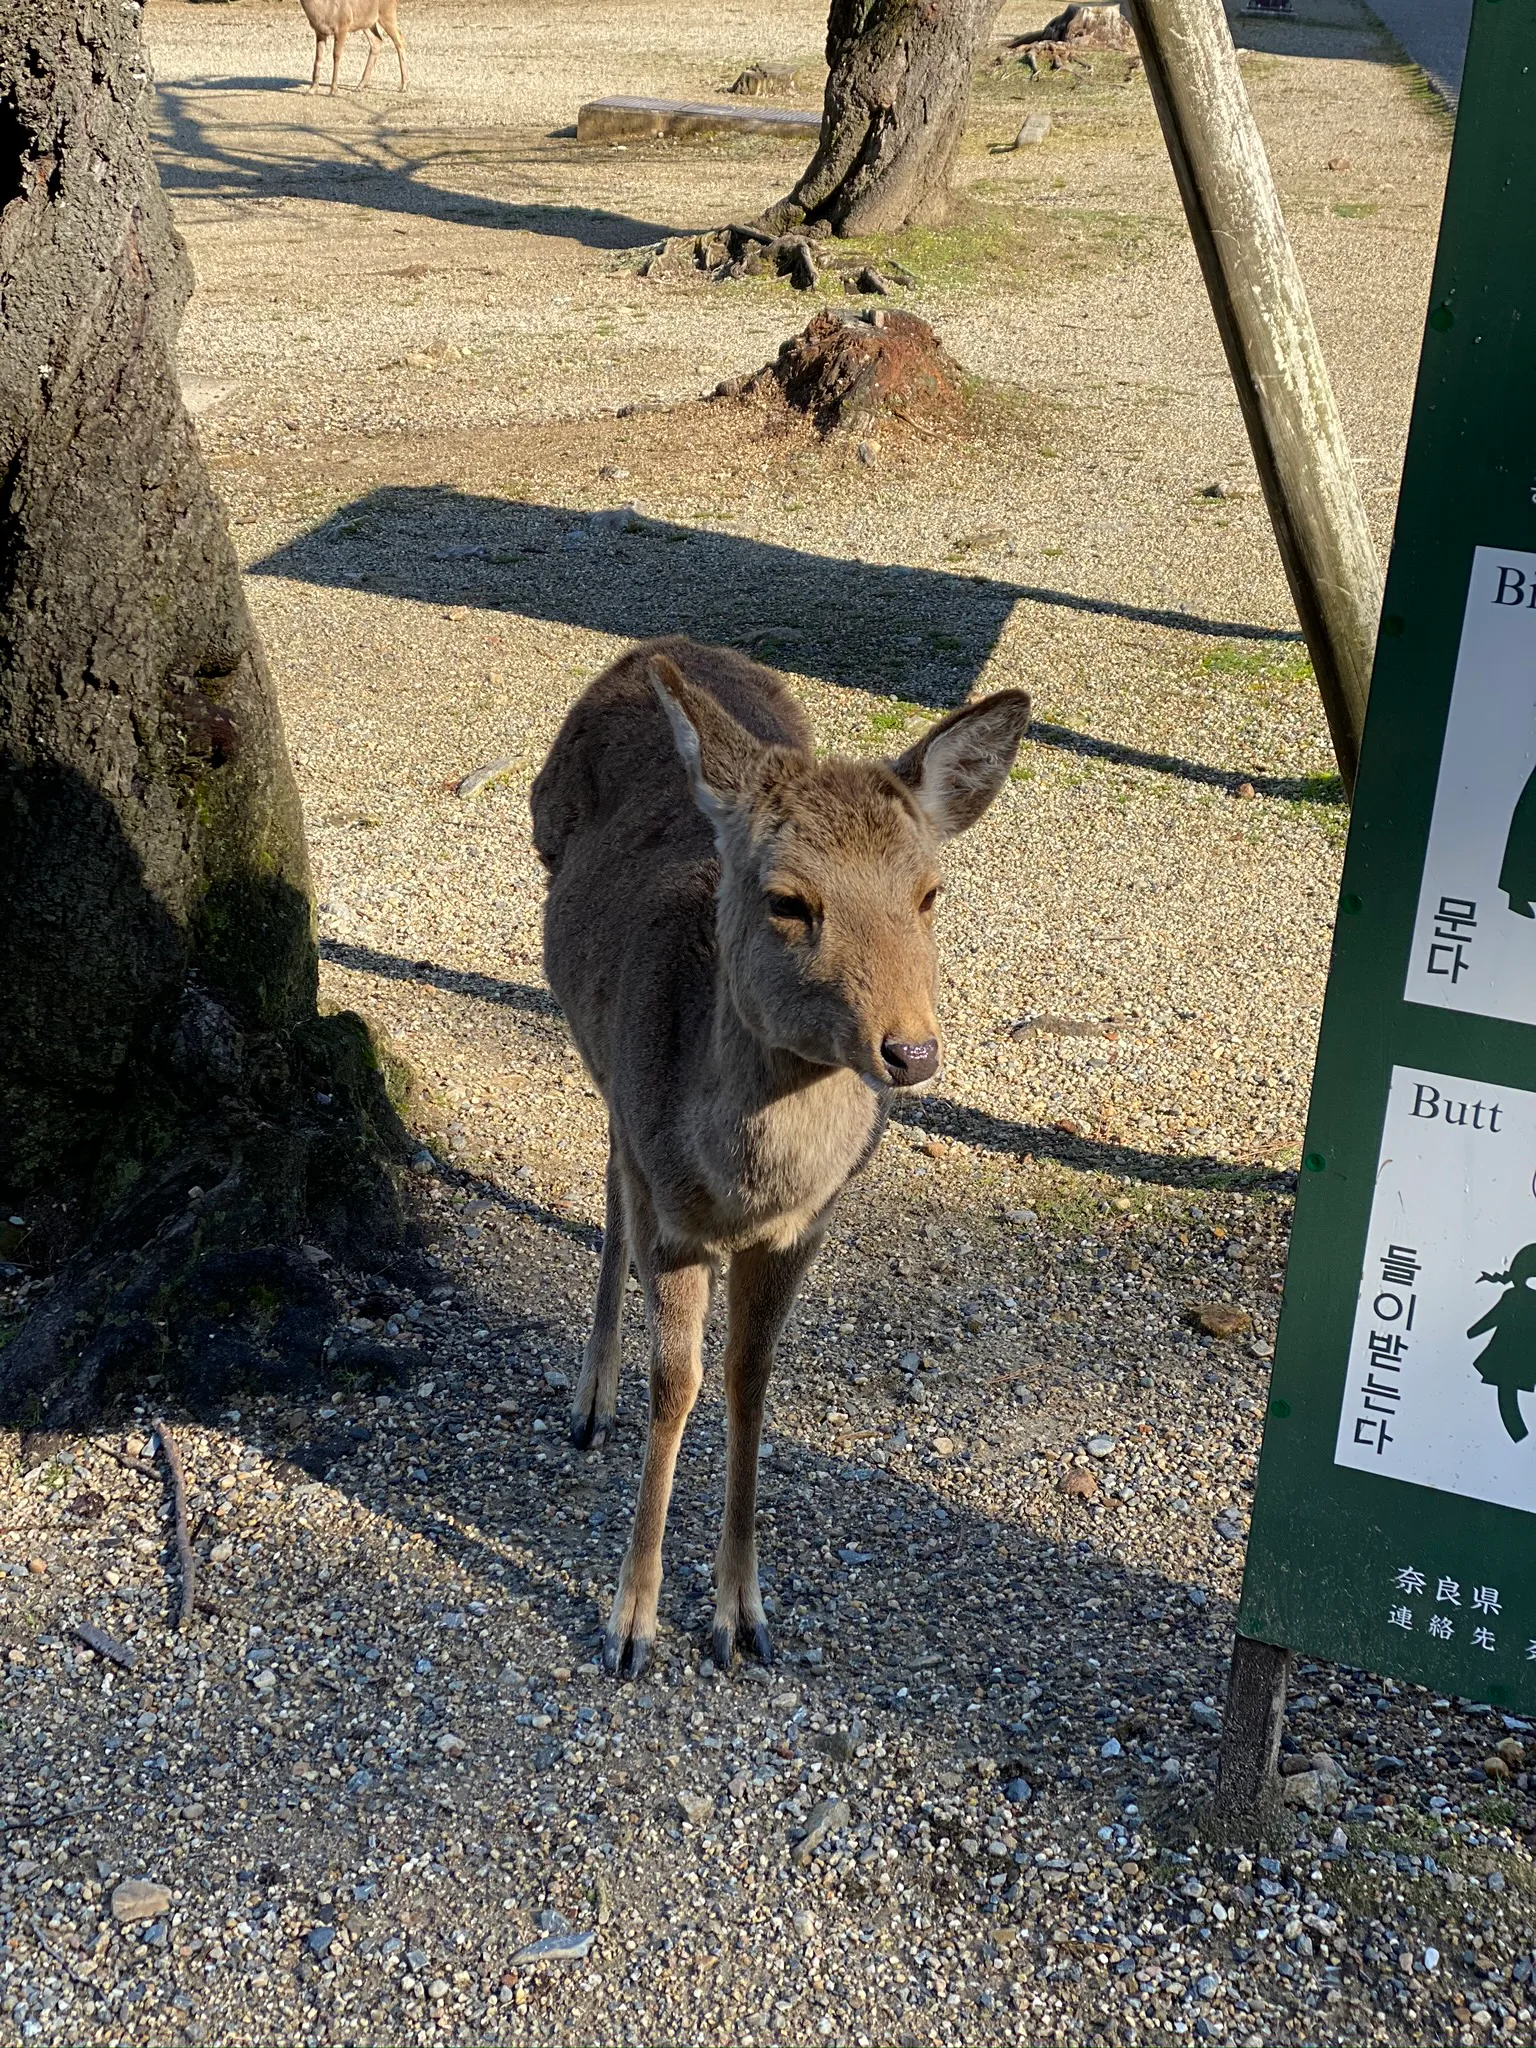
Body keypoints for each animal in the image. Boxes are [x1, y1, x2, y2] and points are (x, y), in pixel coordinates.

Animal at [530, 637, 1031, 1678]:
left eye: (930, 894)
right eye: (789, 901)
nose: (910, 1051)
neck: (746, 1189)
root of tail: (660, 649)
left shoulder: (808, 1226)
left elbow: (749, 1381)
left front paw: (742, 1616)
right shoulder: (673, 1208)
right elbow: (674, 1385)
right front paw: (629, 1626)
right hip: (591, 1032)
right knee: (612, 1174)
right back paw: (587, 1400)